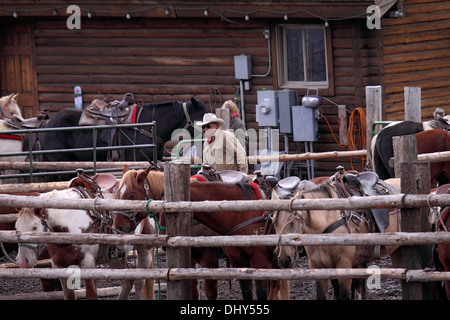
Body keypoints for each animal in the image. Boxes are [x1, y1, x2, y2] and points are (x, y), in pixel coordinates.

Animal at [14, 188, 156, 300]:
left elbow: (92, 295)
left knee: (139, 281)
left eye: (34, 227)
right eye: (16, 227)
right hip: (115, 258)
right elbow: (69, 296)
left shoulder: (88, 264)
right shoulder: (59, 266)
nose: (22, 261)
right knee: (127, 282)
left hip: (145, 251)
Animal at [111, 168, 288, 300]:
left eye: (132, 195)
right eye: (117, 193)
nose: (117, 226)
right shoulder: (198, 260)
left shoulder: (212, 258)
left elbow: (212, 293)